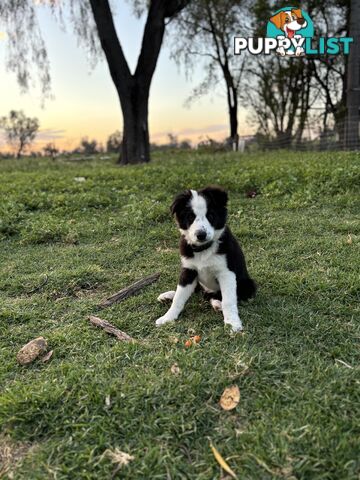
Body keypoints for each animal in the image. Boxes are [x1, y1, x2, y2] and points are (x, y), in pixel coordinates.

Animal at [156, 186, 258, 332]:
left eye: (210, 216)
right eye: (190, 217)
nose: (201, 235)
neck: (203, 249)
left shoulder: (226, 273)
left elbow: (229, 301)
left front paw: (232, 323)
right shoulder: (189, 271)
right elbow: (179, 297)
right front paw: (168, 317)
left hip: (247, 284)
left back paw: (217, 304)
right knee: (196, 291)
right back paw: (168, 295)